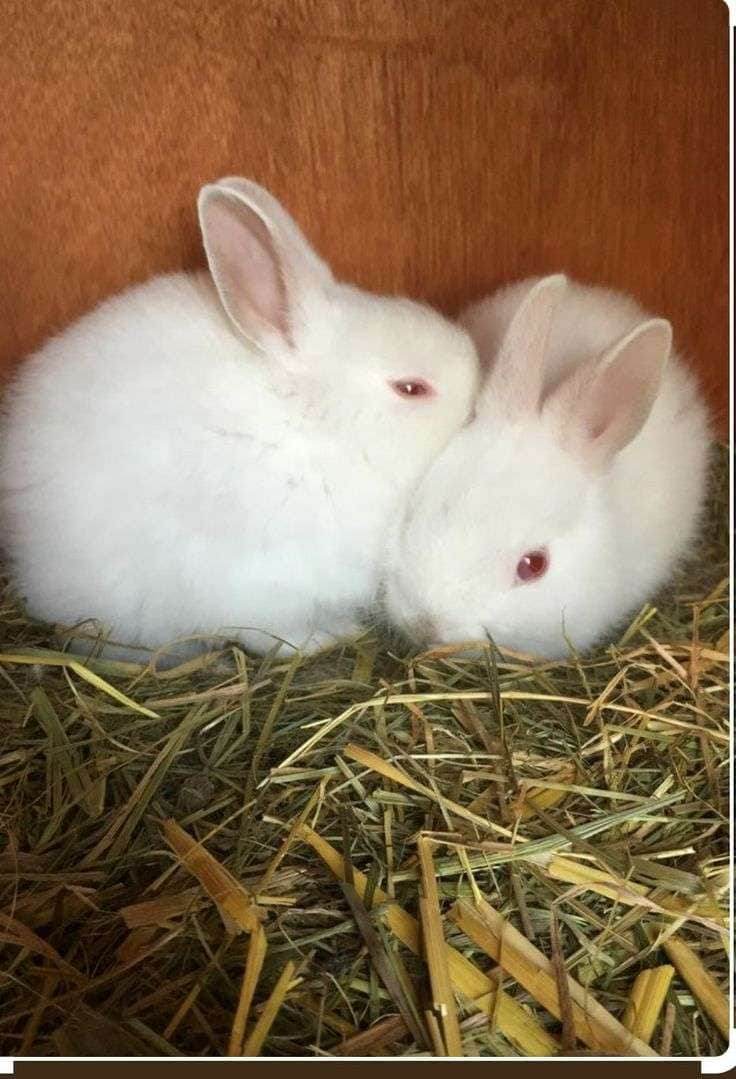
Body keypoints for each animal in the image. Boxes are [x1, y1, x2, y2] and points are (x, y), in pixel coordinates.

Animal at [0, 177, 479, 659]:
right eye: (411, 388)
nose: (476, 385)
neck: (313, 427)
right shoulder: (255, 578)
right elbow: (270, 631)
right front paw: (325, 638)